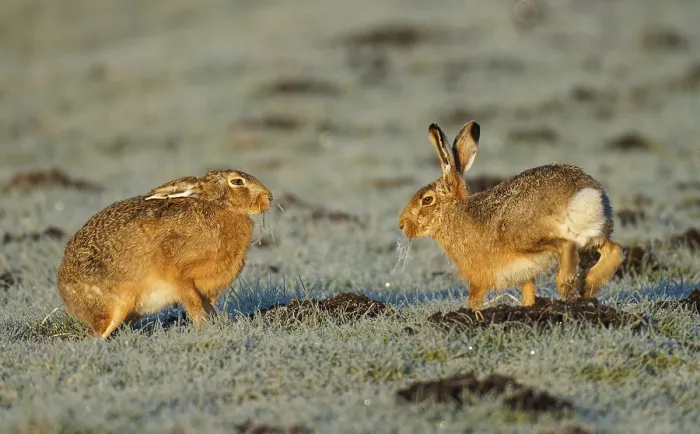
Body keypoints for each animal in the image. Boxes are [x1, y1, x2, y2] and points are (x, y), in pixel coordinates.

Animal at [57, 169, 273, 338]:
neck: (218, 209)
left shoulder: (208, 290)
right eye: (237, 181)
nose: (269, 197)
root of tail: (66, 294)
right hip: (115, 305)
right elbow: (194, 306)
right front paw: (203, 328)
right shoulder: (180, 275)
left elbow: (209, 308)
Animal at [398, 121, 624, 310]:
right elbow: (528, 293)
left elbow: (474, 298)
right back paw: (589, 287)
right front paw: (528, 309)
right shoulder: (525, 274)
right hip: (593, 236)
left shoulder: (478, 276)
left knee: (565, 246)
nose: (402, 224)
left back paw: (566, 287)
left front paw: (472, 313)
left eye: (427, 200)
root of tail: (580, 195)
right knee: (614, 250)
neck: (452, 212)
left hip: (524, 237)